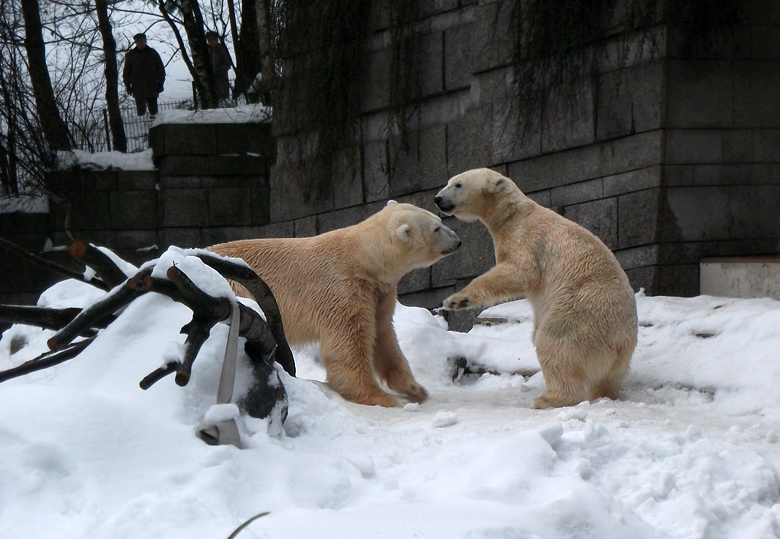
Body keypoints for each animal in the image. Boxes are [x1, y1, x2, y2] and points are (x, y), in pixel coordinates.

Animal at [436, 169, 636, 410]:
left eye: (458, 184)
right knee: (607, 378)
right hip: (616, 355)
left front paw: (456, 300)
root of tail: (621, 342)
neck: (514, 215)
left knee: (555, 341)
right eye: (448, 182)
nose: (438, 199)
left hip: (583, 309)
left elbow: (520, 271)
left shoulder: (527, 240)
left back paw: (548, 398)